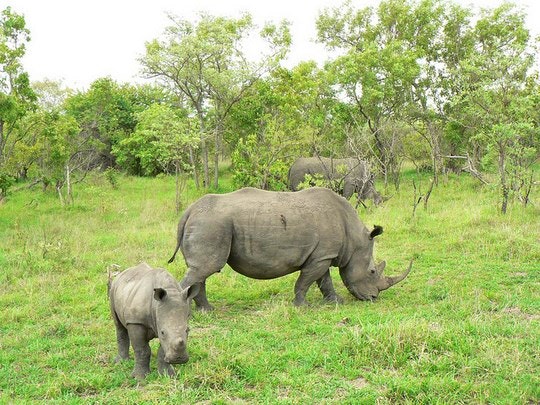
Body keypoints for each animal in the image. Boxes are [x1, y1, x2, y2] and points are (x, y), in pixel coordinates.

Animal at [169, 187, 414, 310]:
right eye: (372, 271)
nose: (373, 298)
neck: (354, 238)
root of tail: (189, 211)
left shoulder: (322, 255)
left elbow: (324, 281)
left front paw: (335, 302)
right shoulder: (321, 256)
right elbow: (306, 281)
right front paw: (302, 306)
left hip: (209, 223)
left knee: (201, 270)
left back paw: (207, 310)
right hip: (211, 224)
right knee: (206, 268)